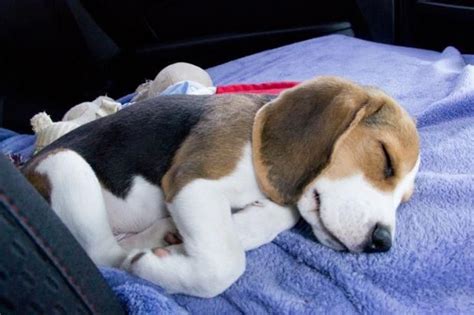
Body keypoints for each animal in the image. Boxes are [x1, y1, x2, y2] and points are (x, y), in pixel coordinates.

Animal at [24, 76, 420, 298]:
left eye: (404, 200)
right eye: (386, 159)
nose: (382, 242)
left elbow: (279, 216)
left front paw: (238, 229)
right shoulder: (192, 181)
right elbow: (225, 264)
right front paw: (159, 265)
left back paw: (165, 232)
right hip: (65, 164)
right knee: (102, 253)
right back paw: (144, 251)